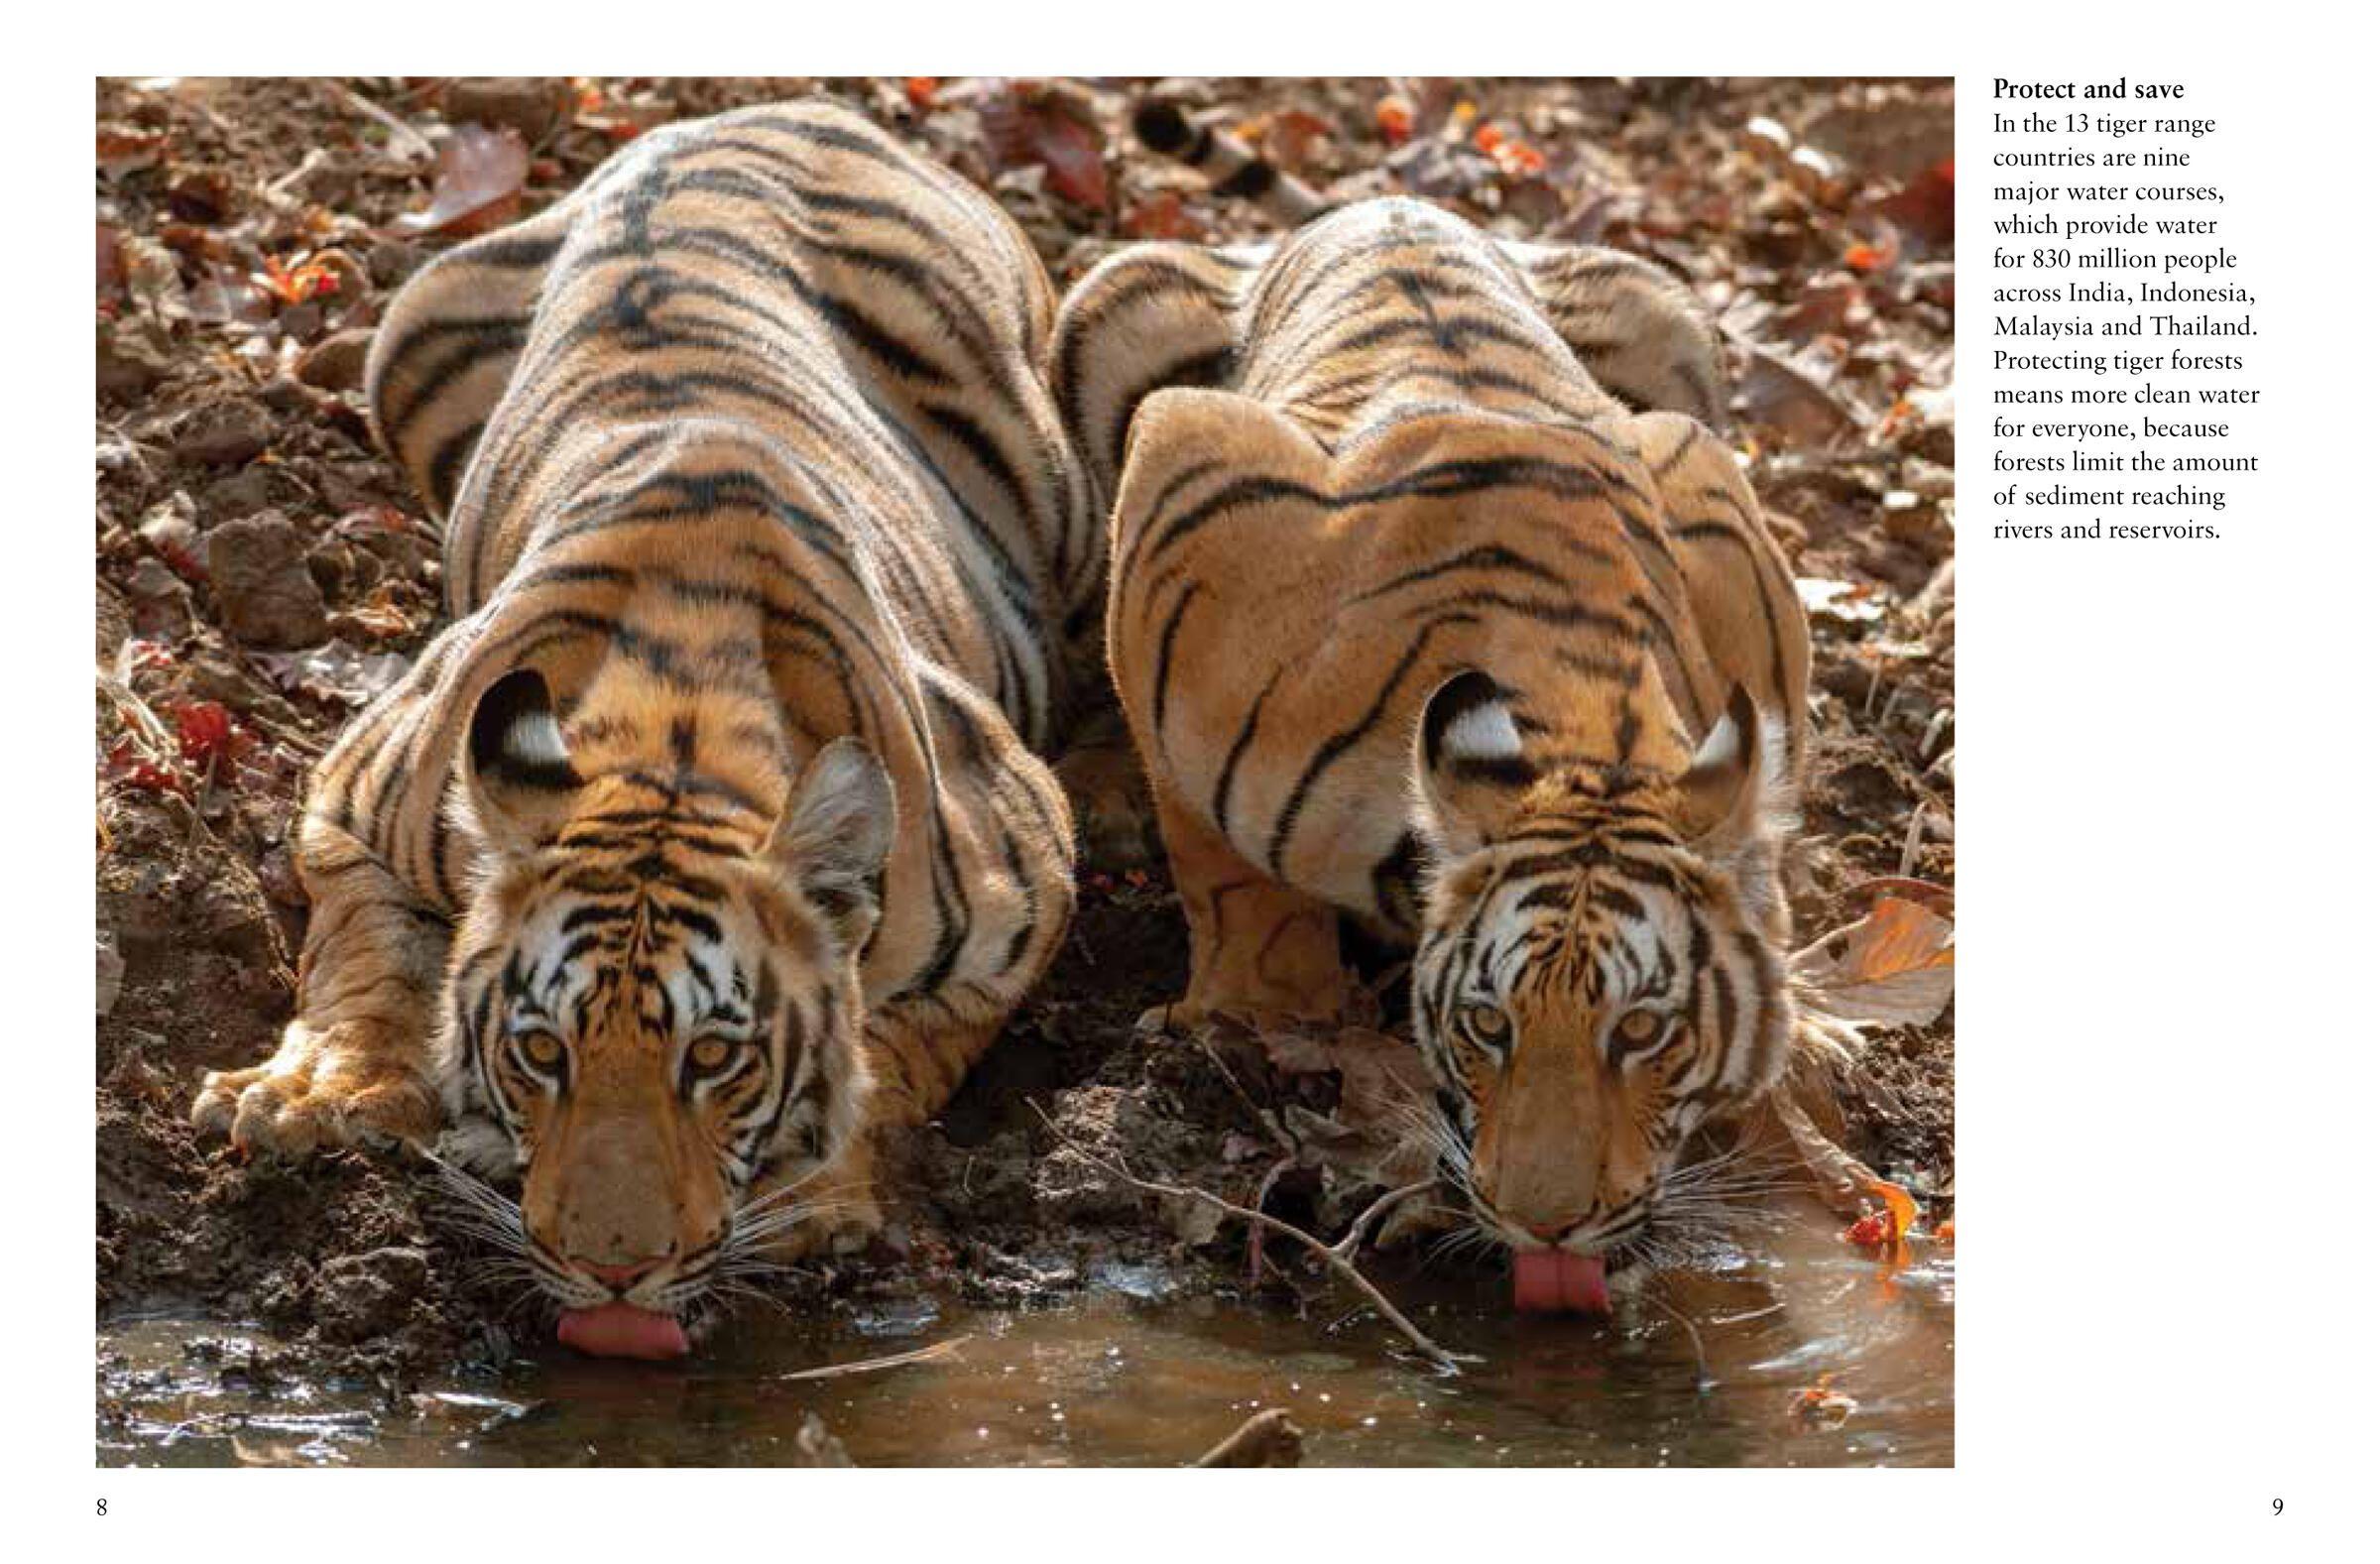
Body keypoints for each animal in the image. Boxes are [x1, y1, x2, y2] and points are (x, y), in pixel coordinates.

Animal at [189, 101, 1096, 1355]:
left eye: (712, 1056)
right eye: (541, 1049)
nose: (612, 1271)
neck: (678, 731)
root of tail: (775, 108)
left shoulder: (1028, 883)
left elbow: (901, 1038)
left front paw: (817, 1185)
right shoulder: (356, 797)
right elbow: (370, 950)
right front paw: (317, 1094)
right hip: (403, 336)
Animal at [1053, 188, 1807, 1313]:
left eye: (1641, 1030)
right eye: (1490, 1023)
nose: (1549, 1223)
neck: (1586, 715)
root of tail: (1380, 201)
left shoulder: (1711, 494)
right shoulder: (1187, 481)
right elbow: (1218, 862)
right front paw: (1264, 1006)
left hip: (1675, 331)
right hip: (1110, 311)